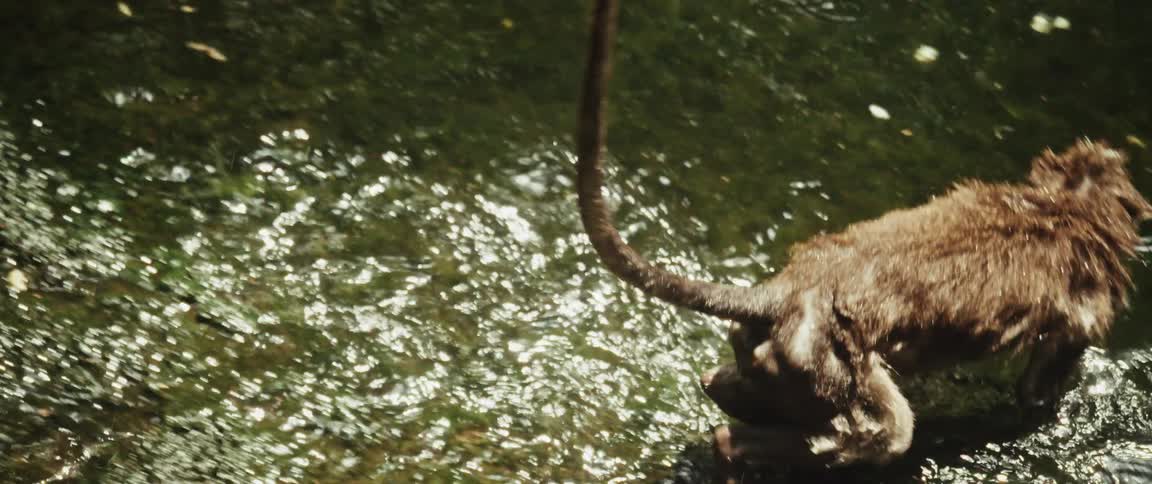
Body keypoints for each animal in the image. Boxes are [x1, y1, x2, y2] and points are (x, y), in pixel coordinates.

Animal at [575, 0, 1152, 470]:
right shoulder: (1087, 305)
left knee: (729, 381)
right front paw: (1044, 408)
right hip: (826, 363)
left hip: (774, 355)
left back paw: (729, 399)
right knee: (883, 431)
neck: (1067, 202)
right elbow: (1041, 382)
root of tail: (786, 290)